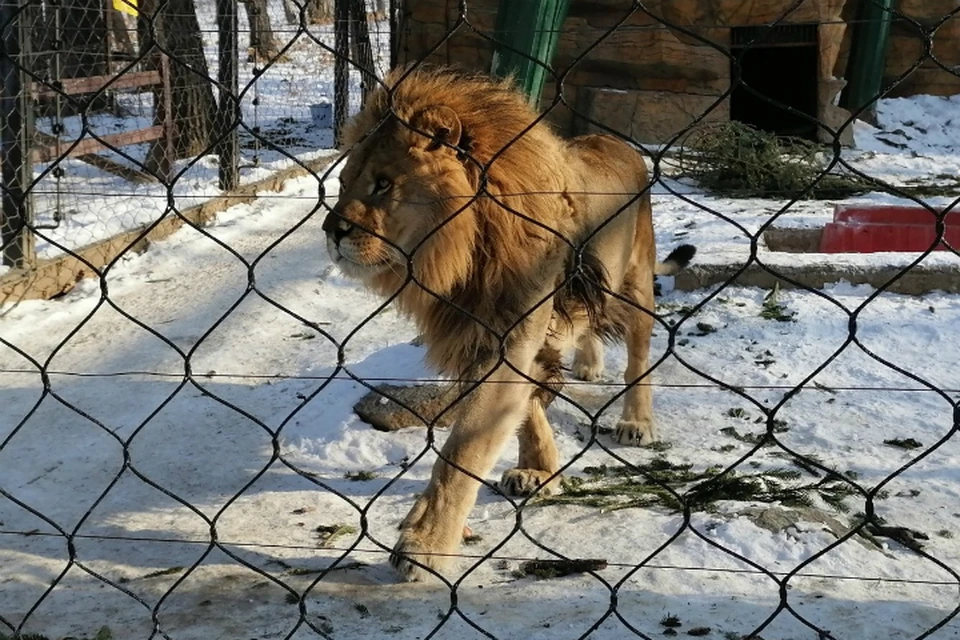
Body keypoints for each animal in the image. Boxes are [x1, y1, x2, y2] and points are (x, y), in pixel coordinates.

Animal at [320, 65, 688, 580]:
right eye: (345, 182)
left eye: (383, 185)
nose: (330, 232)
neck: (464, 254)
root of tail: (619, 143)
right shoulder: (484, 336)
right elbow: (527, 407)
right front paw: (540, 470)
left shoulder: (510, 338)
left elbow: (462, 451)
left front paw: (425, 544)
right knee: (588, 329)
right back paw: (589, 363)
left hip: (634, 284)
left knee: (639, 359)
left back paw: (636, 421)